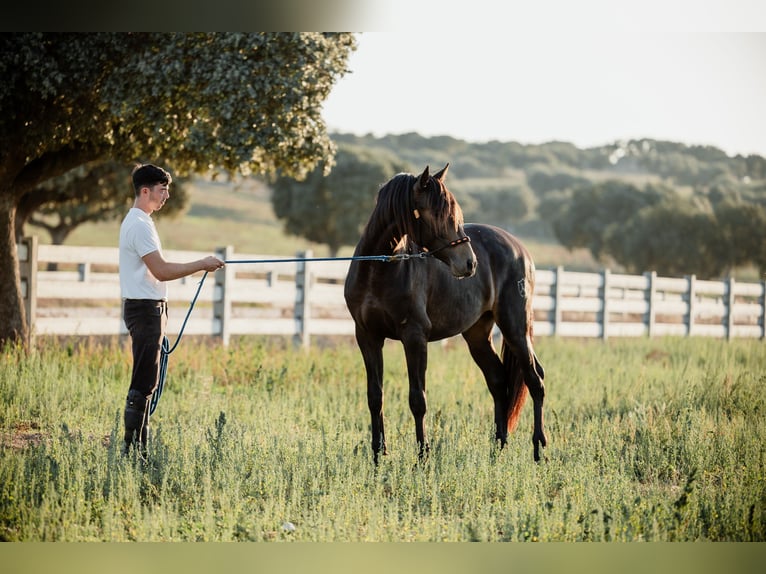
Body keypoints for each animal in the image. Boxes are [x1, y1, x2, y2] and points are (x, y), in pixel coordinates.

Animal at [344, 164, 548, 466]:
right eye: (436, 213)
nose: (470, 263)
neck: (379, 267)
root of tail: (520, 249)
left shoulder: (414, 337)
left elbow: (417, 400)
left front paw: (422, 457)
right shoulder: (367, 337)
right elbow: (375, 397)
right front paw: (378, 456)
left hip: (515, 328)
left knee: (535, 379)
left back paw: (538, 449)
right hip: (477, 335)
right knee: (498, 381)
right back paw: (498, 449)